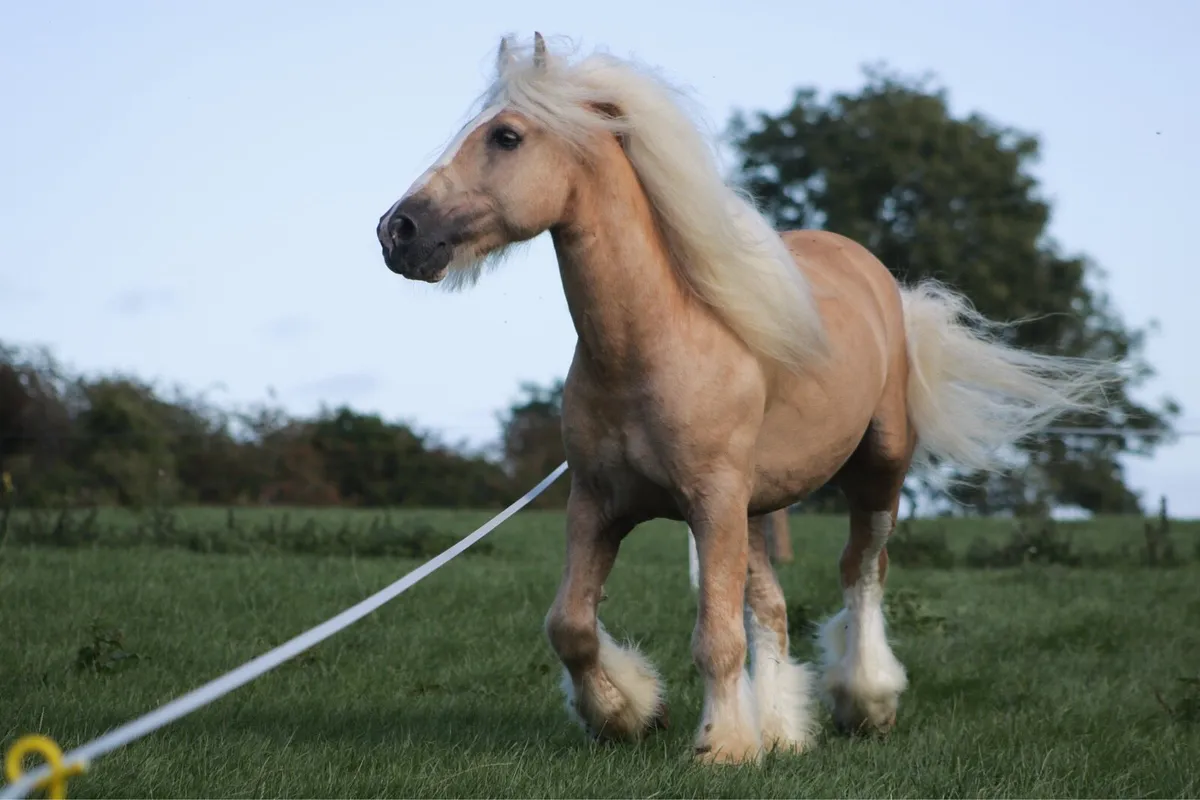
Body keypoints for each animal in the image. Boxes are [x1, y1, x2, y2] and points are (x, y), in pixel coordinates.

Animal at [375, 33, 1113, 764]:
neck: (653, 347)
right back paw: (783, 728)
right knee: (774, 608)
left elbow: (716, 637)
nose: (396, 231)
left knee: (862, 572)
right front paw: (632, 714)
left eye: (506, 136)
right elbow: (572, 625)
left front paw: (723, 746)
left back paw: (865, 702)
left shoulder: (712, 502)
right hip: (756, 508)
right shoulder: (599, 503)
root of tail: (881, 280)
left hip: (874, 472)